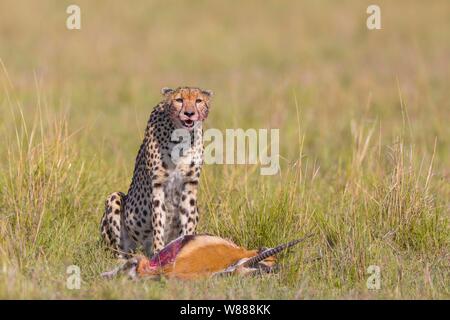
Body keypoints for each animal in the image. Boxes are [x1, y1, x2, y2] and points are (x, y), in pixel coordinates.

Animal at [101, 86, 214, 258]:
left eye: (198, 101)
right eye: (179, 100)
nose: (189, 113)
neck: (181, 136)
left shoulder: (189, 185)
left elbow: (188, 222)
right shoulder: (158, 186)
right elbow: (158, 221)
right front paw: (159, 252)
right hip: (115, 200)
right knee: (121, 251)